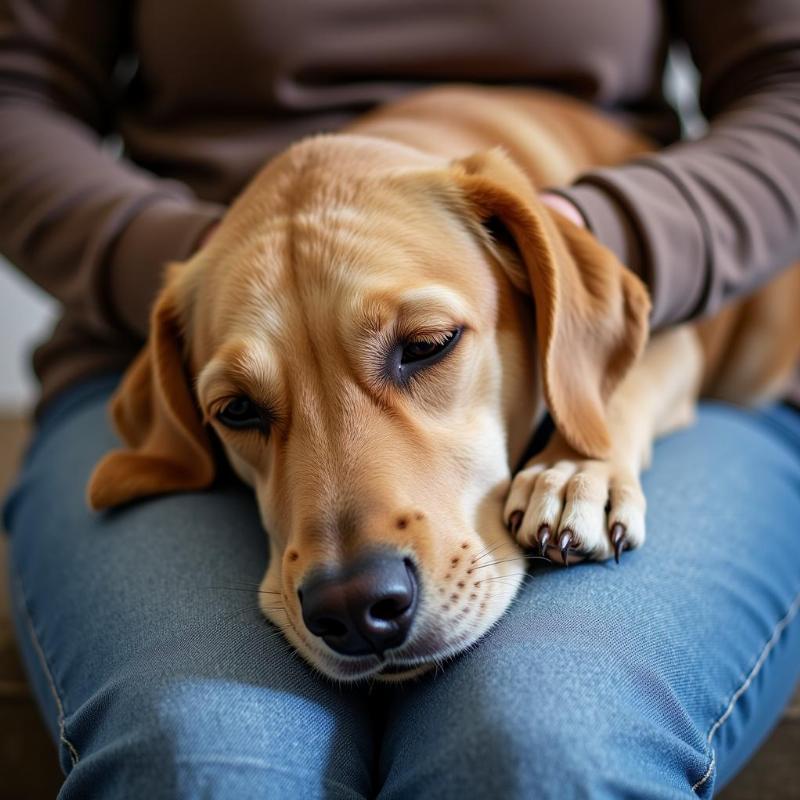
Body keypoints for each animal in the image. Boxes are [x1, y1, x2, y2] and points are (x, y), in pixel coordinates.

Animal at [87, 89, 800, 688]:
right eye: (236, 409)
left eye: (428, 345)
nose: (354, 606)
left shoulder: (676, 341)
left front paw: (574, 471)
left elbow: (614, 393)